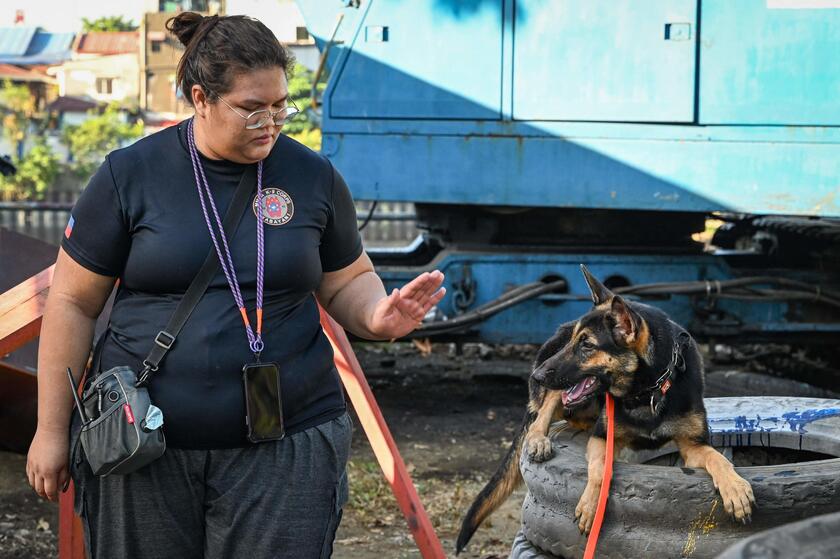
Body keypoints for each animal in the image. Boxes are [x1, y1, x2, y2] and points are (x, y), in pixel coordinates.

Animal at [456, 266, 756, 556]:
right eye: (576, 341)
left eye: (587, 345)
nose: (536, 374)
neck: (647, 390)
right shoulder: (603, 438)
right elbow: (600, 469)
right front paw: (591, 505)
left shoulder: (692, 446)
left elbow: (717, 458)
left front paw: (735, 487)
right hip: (556, 384)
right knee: (540, 416)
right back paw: (539, 439)